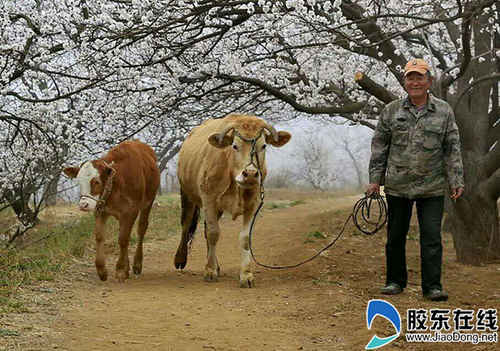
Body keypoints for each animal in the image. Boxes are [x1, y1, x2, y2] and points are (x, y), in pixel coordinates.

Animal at [63, 140, 159, 284]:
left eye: (96, 182)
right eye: (79, 182)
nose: (84, 205)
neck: (116, 184)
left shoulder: (130, 211)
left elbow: (123, 239)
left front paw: (120, 270)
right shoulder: (100, 210)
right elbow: (99, 236)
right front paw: (102, 270)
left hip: (148, 202)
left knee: (141, 229)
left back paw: (137, 264)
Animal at [176, 114, 292, 288]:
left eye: (264, 146)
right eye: (235, 146)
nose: (250, 174)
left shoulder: (253, 203)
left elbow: (245, 238)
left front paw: (246, 274)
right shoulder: (209, 199)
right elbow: (213, 233)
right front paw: (210, 271)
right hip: (188, 196)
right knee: (186, 225)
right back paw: (181, 259)